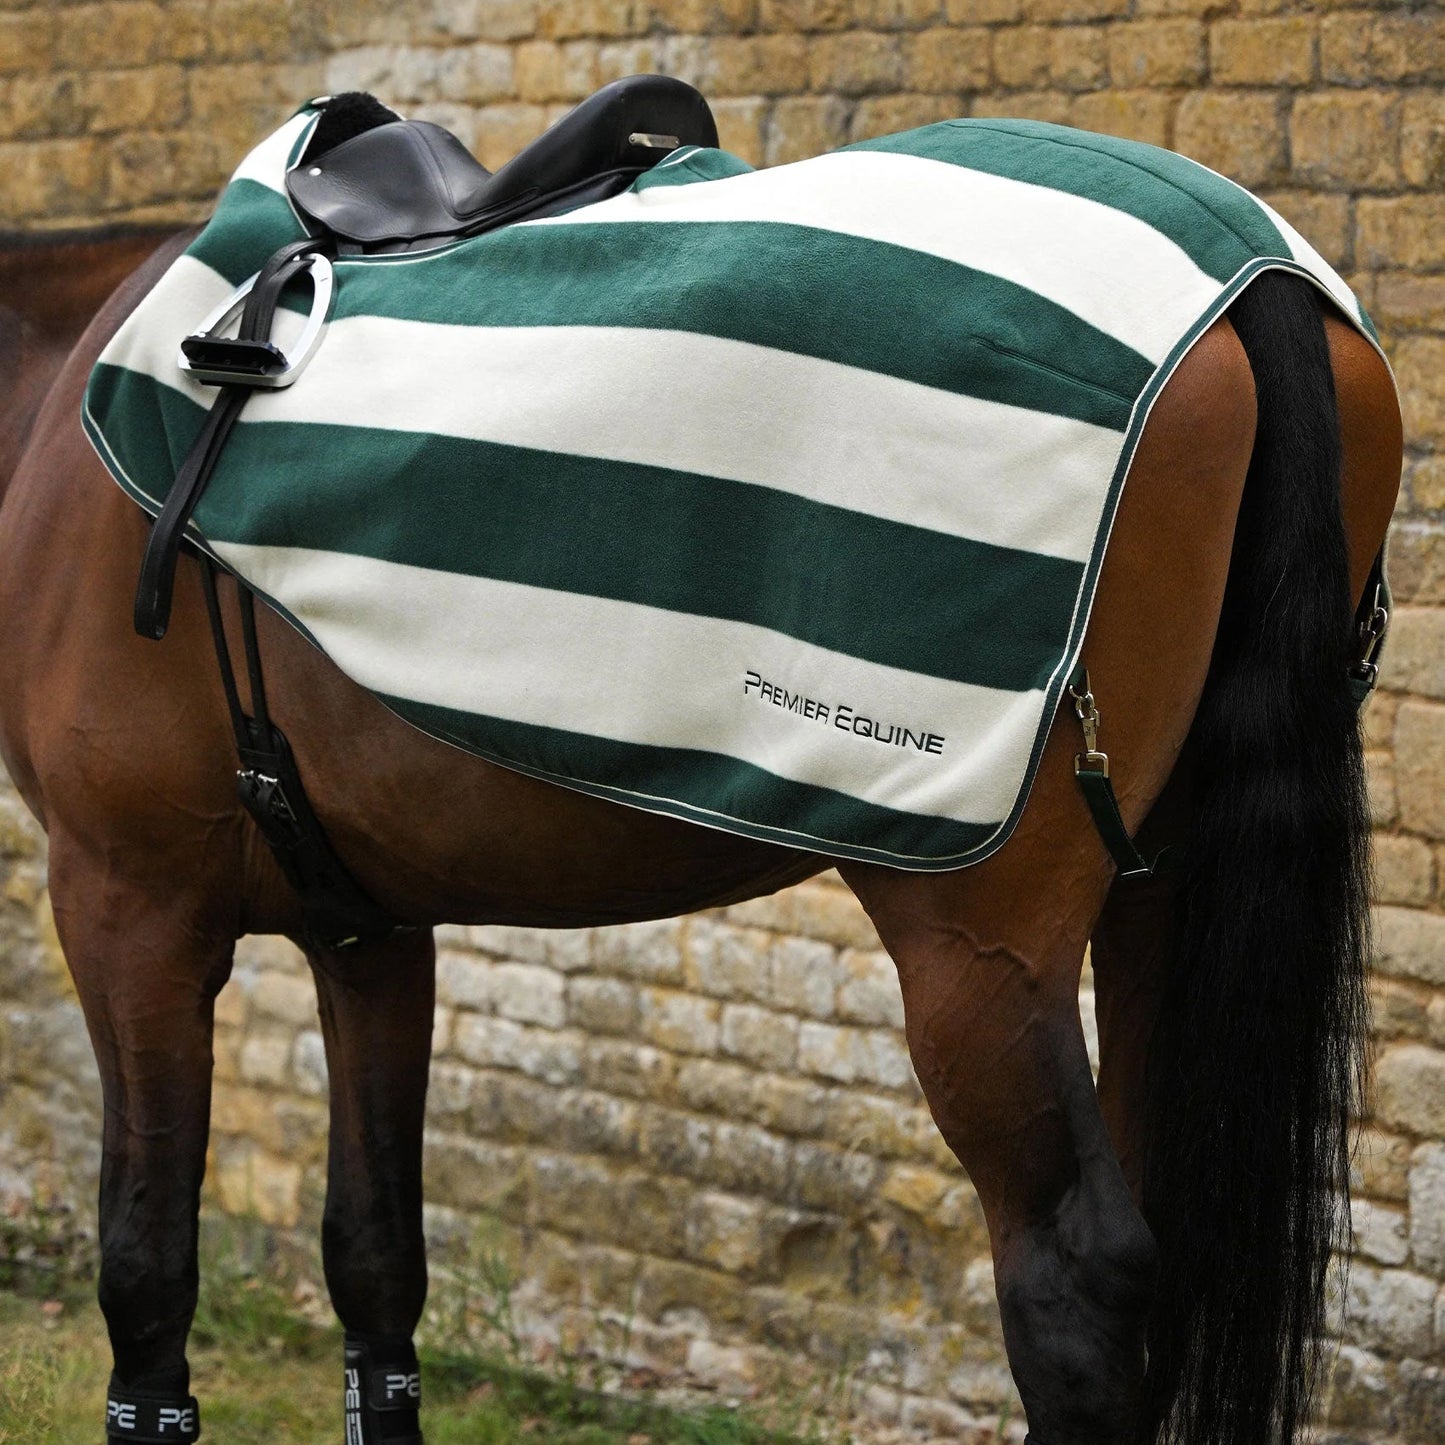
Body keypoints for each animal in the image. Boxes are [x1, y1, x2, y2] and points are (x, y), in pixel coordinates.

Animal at [0, 101, 1403, 1445]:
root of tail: (1252, 280)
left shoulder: (126, 905)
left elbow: (145, 1267)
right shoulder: (369, 929)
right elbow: (376, 1260)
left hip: (980, 947)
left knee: (1078, 1278)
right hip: (1157, 900)